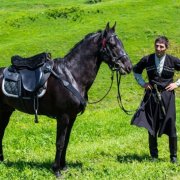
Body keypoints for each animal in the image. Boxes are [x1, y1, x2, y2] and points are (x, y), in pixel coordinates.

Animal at [0, 23, 132, 176]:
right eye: (112, 44)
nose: (128, 67)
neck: (71, 75)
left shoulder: (72, 116)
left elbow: (67, 141)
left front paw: (63, 166)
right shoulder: (63, 116)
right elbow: (60, 142)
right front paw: (56, 169)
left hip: (6, 111)